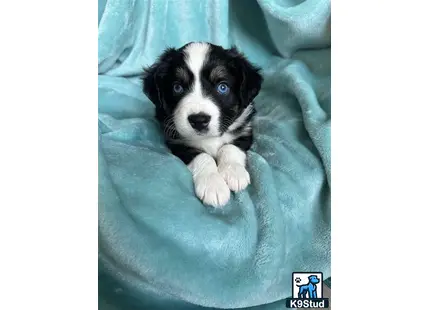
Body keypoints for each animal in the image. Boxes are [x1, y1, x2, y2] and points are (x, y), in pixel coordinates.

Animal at [142, 40, 262, 206]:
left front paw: (234, 172)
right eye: (177, 87)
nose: (199, 120)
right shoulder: (178, 142)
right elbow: (203, 157)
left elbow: (229, 147)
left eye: (222, 87)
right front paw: (213, 185)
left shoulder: (244, 130)